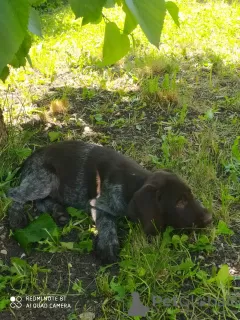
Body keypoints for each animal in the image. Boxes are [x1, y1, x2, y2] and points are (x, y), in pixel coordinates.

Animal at [7, 141, 212, 264]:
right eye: (180, 202)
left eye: (191, 195)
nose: (210, 219)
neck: (133, 183)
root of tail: (31, 157)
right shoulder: (97, 202)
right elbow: (106, 222)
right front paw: (108, 245)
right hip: (43, 181)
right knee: (14, 194)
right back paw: (17, 216)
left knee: (40, 202)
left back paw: (58, 212)